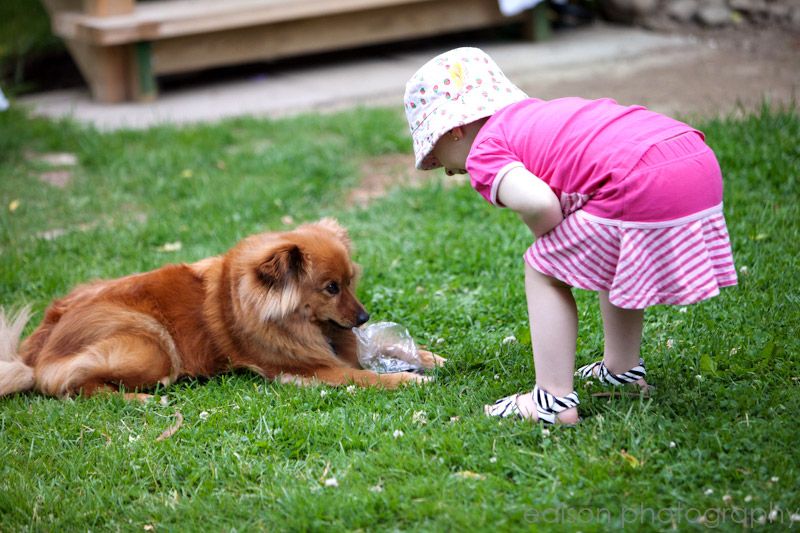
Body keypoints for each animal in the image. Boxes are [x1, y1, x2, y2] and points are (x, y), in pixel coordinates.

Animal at [0, 218, 442, 400]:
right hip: (152, 347)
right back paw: (142, 400)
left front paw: (427, 358)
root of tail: (34, 350)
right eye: (330, 288)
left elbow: (387, 351)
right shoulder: (309, 368)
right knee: (69, 387)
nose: (364, 318)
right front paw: (408, 381)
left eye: (350, 282)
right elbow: (367, 377)